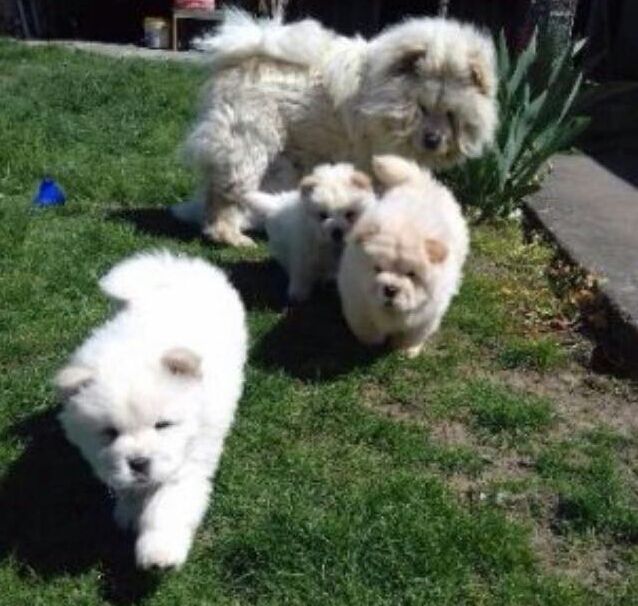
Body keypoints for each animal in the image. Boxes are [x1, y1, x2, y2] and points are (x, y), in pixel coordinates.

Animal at [55, 251, 248, 568]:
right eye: (110, 433)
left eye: (163, 425)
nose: (138, 462)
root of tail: (175, 268)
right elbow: (128, 487)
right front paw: (129, 513)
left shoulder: (189, 457)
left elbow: (166, 504)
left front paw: (159, 552)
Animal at [181, 9, 500, 247]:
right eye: (421, 107)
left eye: (450, 113)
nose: (433, 139)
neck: (388, 98)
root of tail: (247, 54)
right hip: (250, 145)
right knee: (226, 194)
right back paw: (229, 236)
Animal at [244, 162, 376, 304]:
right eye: (323, 215)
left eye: (350, 214)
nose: (337, 231)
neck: (331, 245)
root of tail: (278, 202)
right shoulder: (302, 252)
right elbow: (301, 274)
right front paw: (298, 294)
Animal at [340, 154, 470, 360]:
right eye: (378, 269)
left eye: (411, 274)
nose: (391, 289)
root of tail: (422, 183)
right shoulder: (357, 300)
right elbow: (367, 328)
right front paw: (371, 344)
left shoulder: (427, 315)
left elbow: (413, 335)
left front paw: (406, 351)